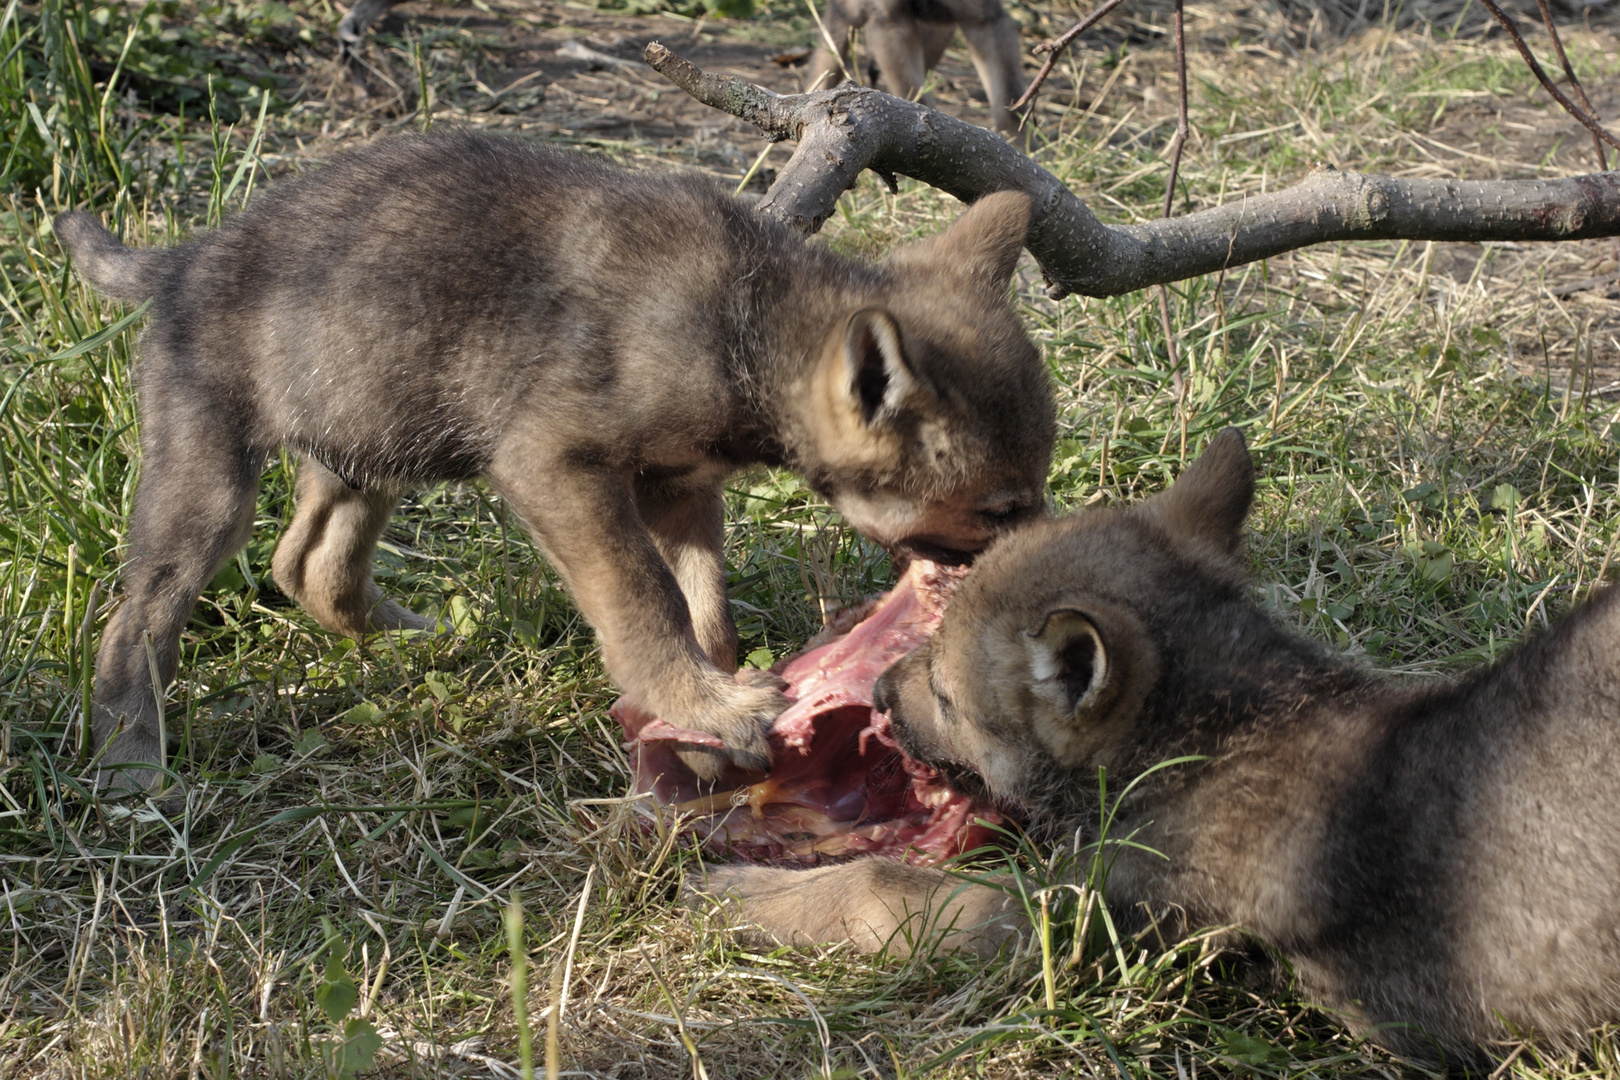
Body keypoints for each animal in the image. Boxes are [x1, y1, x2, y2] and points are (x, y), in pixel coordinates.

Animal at [57, 131, 1056, 790]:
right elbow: (646, 601)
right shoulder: (558, 467)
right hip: (211, 481)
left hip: (369, 436)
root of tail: (186, 260)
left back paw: (425, 637)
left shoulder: (681, 488)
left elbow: (706, 605)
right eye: (1001, 508)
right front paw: (705, 704)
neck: (745, 322)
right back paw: (129, 765)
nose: (1041, 595)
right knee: (141, 614)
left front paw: (701, 712)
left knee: (308, 565)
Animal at [703, 427, 1620, 1062]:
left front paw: (740, 897)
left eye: (945, 696)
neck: (1221, 735)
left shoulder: (1064, 922)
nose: (883, 693)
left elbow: (878, 889)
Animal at [810, 0, 1023, 134]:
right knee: (826, 57)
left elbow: (1009, 103)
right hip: (847, 15)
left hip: (938, 31)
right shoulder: (891, 21)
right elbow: (913, 95)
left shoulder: (982, 18)